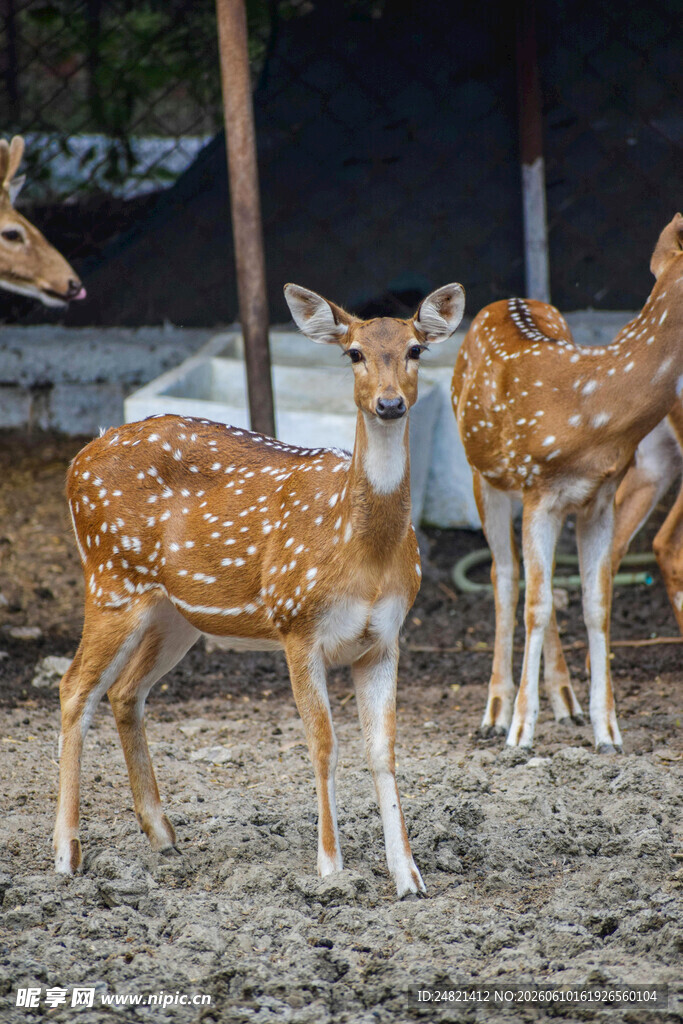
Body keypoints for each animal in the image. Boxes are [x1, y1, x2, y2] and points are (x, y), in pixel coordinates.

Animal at [53, 281, 466, 897]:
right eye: (354, 353)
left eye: (417, 349)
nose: (390, 404)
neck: (362, 554)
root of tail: (77, 460)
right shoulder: (298, 624)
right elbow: (323, 744)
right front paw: (330, 869)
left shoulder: (385, 637)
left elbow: (383, 749)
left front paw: (409, 877)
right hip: (111, 578)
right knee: (75, 688)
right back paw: (66, 855)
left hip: (175, 612)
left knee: (126, 691)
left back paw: (164, 837)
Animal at [451, 213, 683, 753]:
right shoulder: (539, 491)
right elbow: (533, 604)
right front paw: (520, 731)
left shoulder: (597, 498)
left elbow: (596, 604)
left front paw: (608, 731)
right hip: (483, 476)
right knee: (504, 575)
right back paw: (494, 711)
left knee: (542, 580)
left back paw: (565, 700)